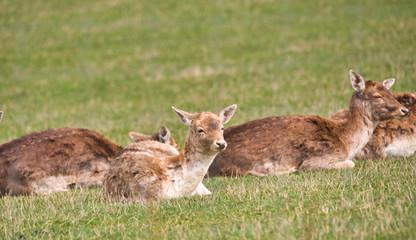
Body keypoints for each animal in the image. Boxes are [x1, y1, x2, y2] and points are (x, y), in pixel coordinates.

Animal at [206, 70, 408, 177]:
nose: (404, 110)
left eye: (390, 92)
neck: (345, 141)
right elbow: (350, 164)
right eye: (377, 96)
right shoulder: (318, 160)